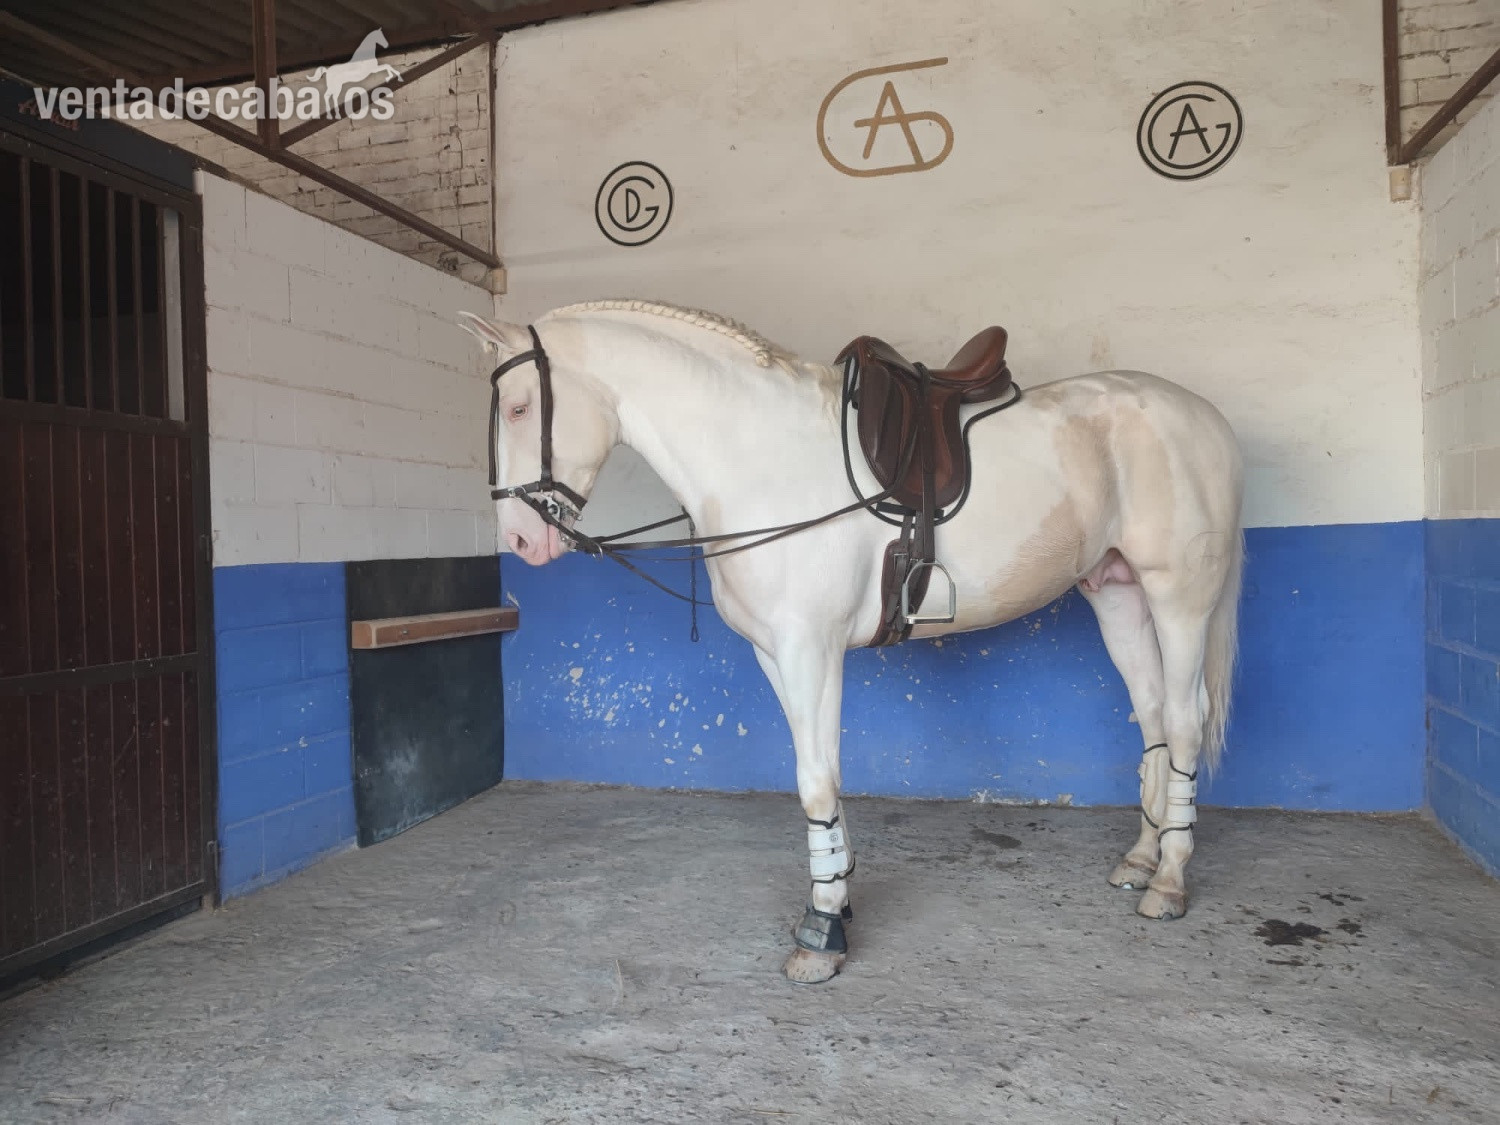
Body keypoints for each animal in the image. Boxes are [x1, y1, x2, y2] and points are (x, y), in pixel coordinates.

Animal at [459, 301, 1244, 984]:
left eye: (521, 409)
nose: (522, 542)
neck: (759, 456)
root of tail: (1206, 419)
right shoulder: (774, 653)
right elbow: (815, 777)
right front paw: (834, 891)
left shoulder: (811, 649)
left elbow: (817, 778)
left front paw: (824, 929)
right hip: (1116, 592)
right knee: (1152, 717)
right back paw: (1140, 858)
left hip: (1178, 598)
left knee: (1183, 719)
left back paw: (1169, 879)